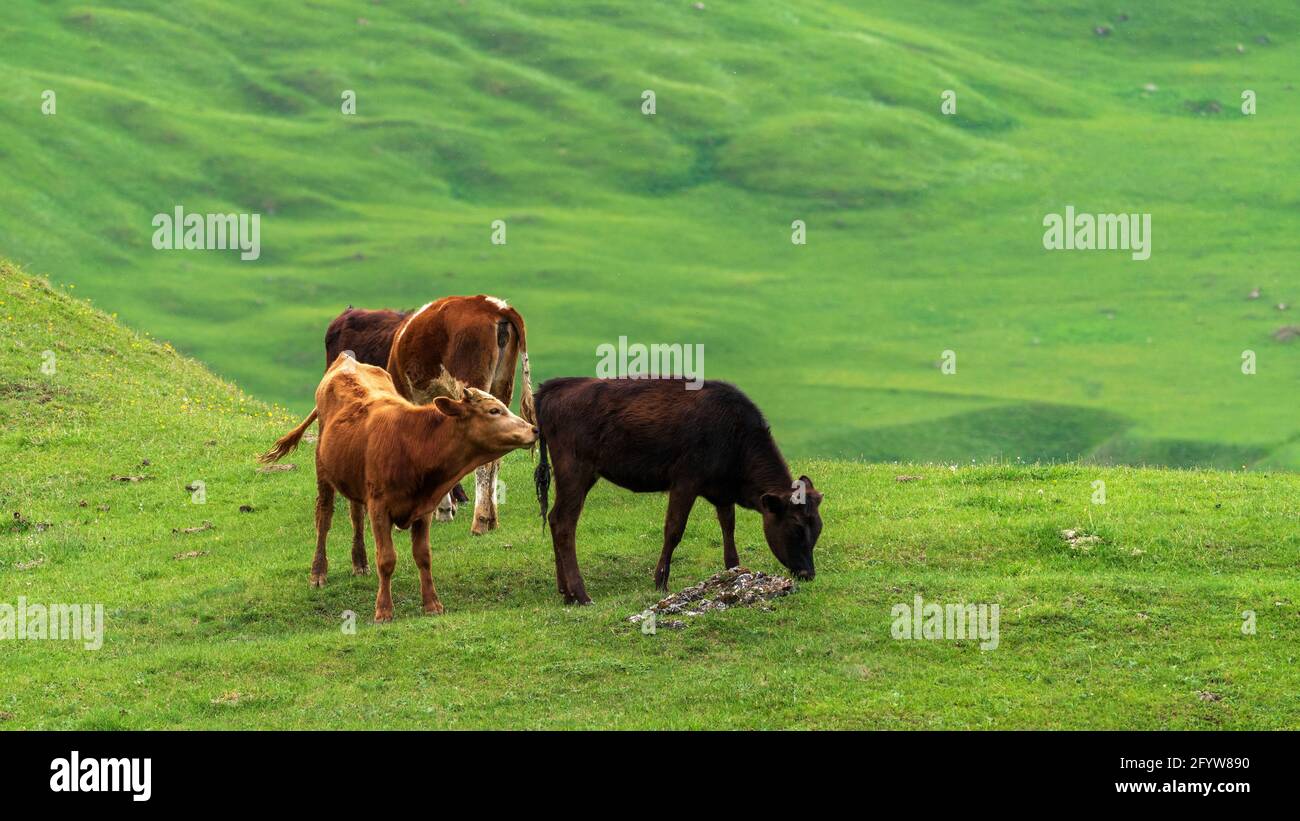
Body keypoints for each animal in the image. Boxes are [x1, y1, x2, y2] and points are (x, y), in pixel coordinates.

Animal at [261, 355, 538, 622]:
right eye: (494, 410)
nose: (534, 429)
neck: (414, 442)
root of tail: (346, 361)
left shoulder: (423, 509)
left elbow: (423, 556)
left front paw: (432, 604)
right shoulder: (380, 508)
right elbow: (386, 559)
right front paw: (383, 610)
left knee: (355, 515)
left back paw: (360, 562)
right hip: (324, 471)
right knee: (324, 517)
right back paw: (318, 572)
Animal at [532, 377, 823, 604]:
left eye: (818, 529)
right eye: (796, 528)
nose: (809, 574)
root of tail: (554, 386)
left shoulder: (722, 491)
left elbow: (728, 527)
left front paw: (734, 572)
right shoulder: (686, 480)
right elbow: (674, 530)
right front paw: (660, 582)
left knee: (555, 518)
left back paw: (566, 593)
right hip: (576, 469)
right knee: (565, 523)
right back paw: (581, 595)